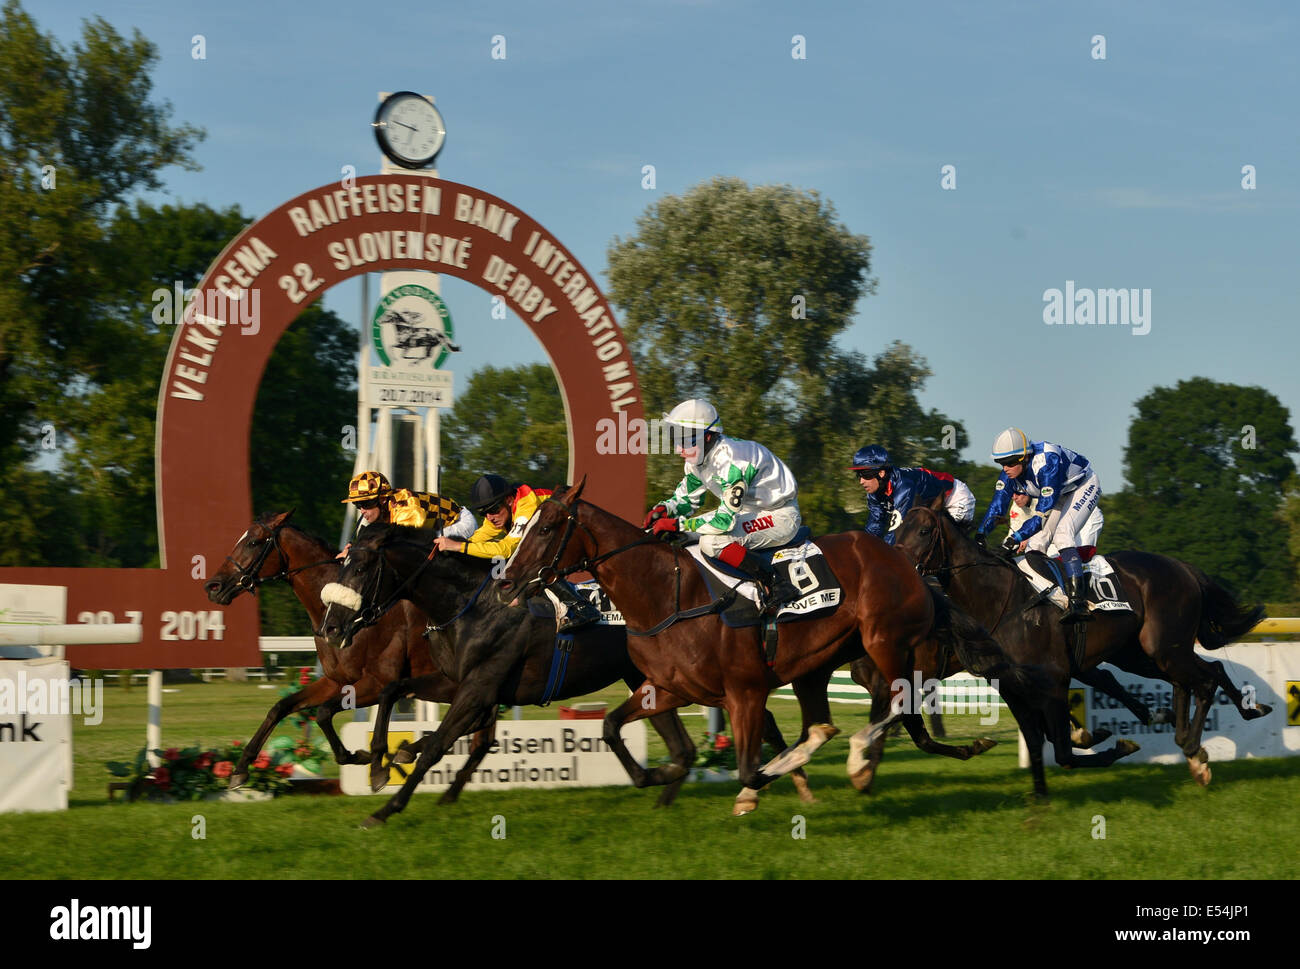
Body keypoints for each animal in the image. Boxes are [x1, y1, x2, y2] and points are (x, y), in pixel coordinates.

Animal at [205, 509, 493, 796]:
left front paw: (368, 761)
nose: (213, 586)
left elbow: (323, 712)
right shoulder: (336, 680)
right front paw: (240, 769)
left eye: (254, 542)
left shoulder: (377, 682)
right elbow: (281, 707)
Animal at [315, 525, 816, 827]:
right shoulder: (458, 682)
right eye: (342, 563)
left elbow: (438, 744)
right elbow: (393, 692)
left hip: (691, 679)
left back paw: (789, 781)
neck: (471, 604)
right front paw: (379, 762)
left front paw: (386, 807)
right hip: (654, 682)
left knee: (751, 719)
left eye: (362, 567)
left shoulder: (479, 687)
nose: (332, 627)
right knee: (688, 747)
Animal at [496, 481, 1055, 811]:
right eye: (522, 526)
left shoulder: (744, 691)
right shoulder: (669, 688)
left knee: (896, 707)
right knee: (875, 718)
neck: (666, 596)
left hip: (884, 642)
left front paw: (756, 787)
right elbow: (612, 727)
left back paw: (858, 759)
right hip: (820, 665)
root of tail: (906, 563)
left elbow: (750, 765)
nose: (506, 582)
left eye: (547, 527)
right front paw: (660, 773)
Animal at [894, 502, 1268, 790]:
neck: (1001, 600)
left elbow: (1062, 751)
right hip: (1141, 654)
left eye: (924, 531)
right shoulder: (1011, 686)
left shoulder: (1054, 679)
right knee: (1201, 673)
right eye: (896, 531)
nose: (902, 571)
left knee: (1204, 679)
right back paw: (1229, 720)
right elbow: (1039, 743)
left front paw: (1115, 745)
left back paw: (1196, 749)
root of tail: (1184, 567)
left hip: (1163, 647)